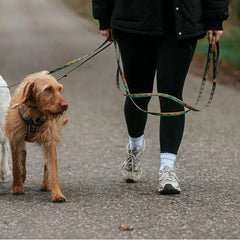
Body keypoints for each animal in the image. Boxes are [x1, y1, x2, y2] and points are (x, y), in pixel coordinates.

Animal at [5, 70, 68, 202]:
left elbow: (53, 168)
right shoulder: (15, 139)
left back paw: (45, 184)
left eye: (59, 89)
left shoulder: (50, 141)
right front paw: (17, 187)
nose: (65, 105)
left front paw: (57, 194)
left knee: (46, 163)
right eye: (48, 89)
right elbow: (16, 165)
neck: (34, 113)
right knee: (23, 154)